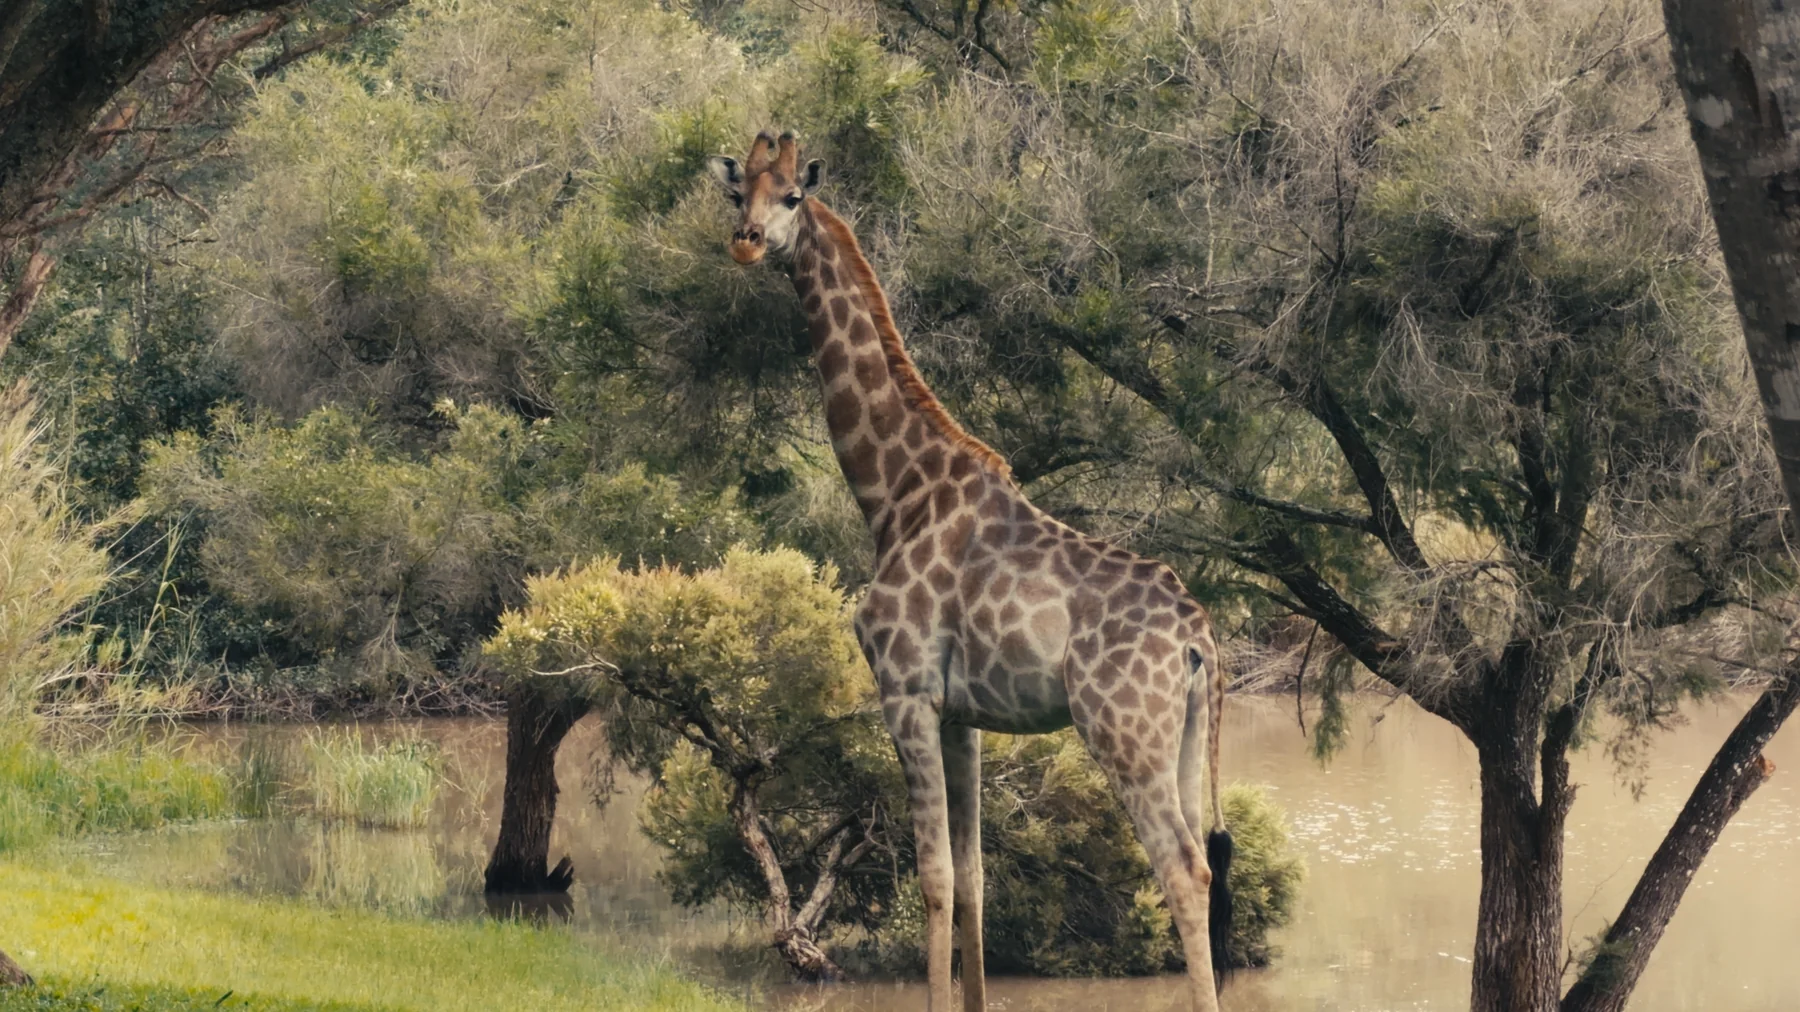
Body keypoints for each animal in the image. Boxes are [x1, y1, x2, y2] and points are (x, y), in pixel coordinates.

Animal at [707, 131, 1234, 1012]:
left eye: (791, 197)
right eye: (735, 190)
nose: (745, 243)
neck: (893, 494)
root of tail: (1200, 639)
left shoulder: (906, 693)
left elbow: (933, 879)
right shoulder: (966, 717)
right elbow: (977, 878)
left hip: (1121, 734)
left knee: (1183, 872)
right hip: (1185, 738)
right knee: (1203, 859)